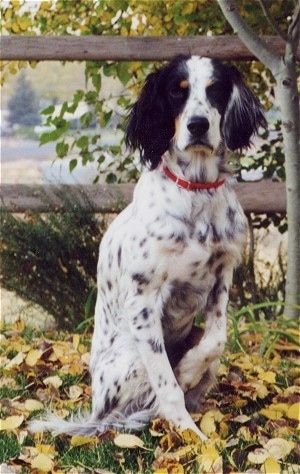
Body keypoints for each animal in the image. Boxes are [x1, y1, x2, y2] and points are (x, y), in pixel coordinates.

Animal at [29, 54, 264, 436]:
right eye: (176, 92)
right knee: (143, 406)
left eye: (214, 89)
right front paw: (194, 437)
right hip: (132, 358)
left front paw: (188, 368)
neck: (196, 192)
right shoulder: (143, 300)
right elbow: (168, 387)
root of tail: (96, 410)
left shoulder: (222, 277)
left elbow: (216, 340)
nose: (198, 125)